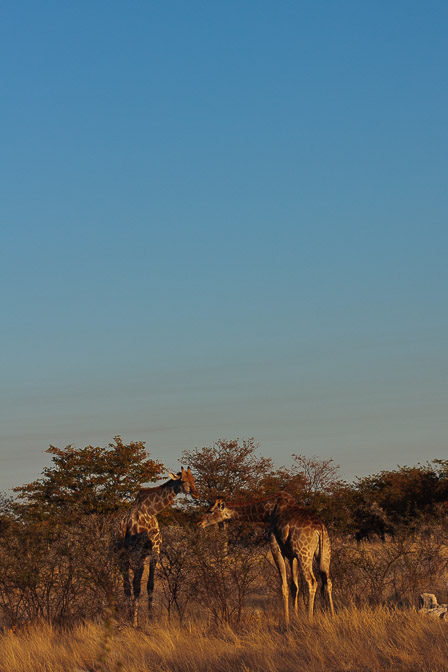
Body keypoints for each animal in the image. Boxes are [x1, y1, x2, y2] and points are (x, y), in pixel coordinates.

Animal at [116, 468, 199, 624]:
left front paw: (150, 618)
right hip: (123, 554)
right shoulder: (141, 550)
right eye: (183, 481)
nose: (196, 493)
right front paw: (138, 620)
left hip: (135, 556)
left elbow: (150, 585)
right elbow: (139, 585)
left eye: (194, 479)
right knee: (129, 584)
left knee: (131, 582)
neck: (150, 512)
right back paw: (130, 616)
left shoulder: (154, 550)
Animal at [198, 488, 334, 624]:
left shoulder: (276, 548)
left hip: (304, 554)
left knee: (312, 581)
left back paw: (310, 618)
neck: (268, 512)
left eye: (210, 511)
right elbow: (294, 587)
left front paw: (287, 621)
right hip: (325, 553)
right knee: (327, 580)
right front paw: (295, 617)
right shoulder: (292, 555)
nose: (199, 523)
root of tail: (320, 529)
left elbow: (284, 587)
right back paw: (331, 615)